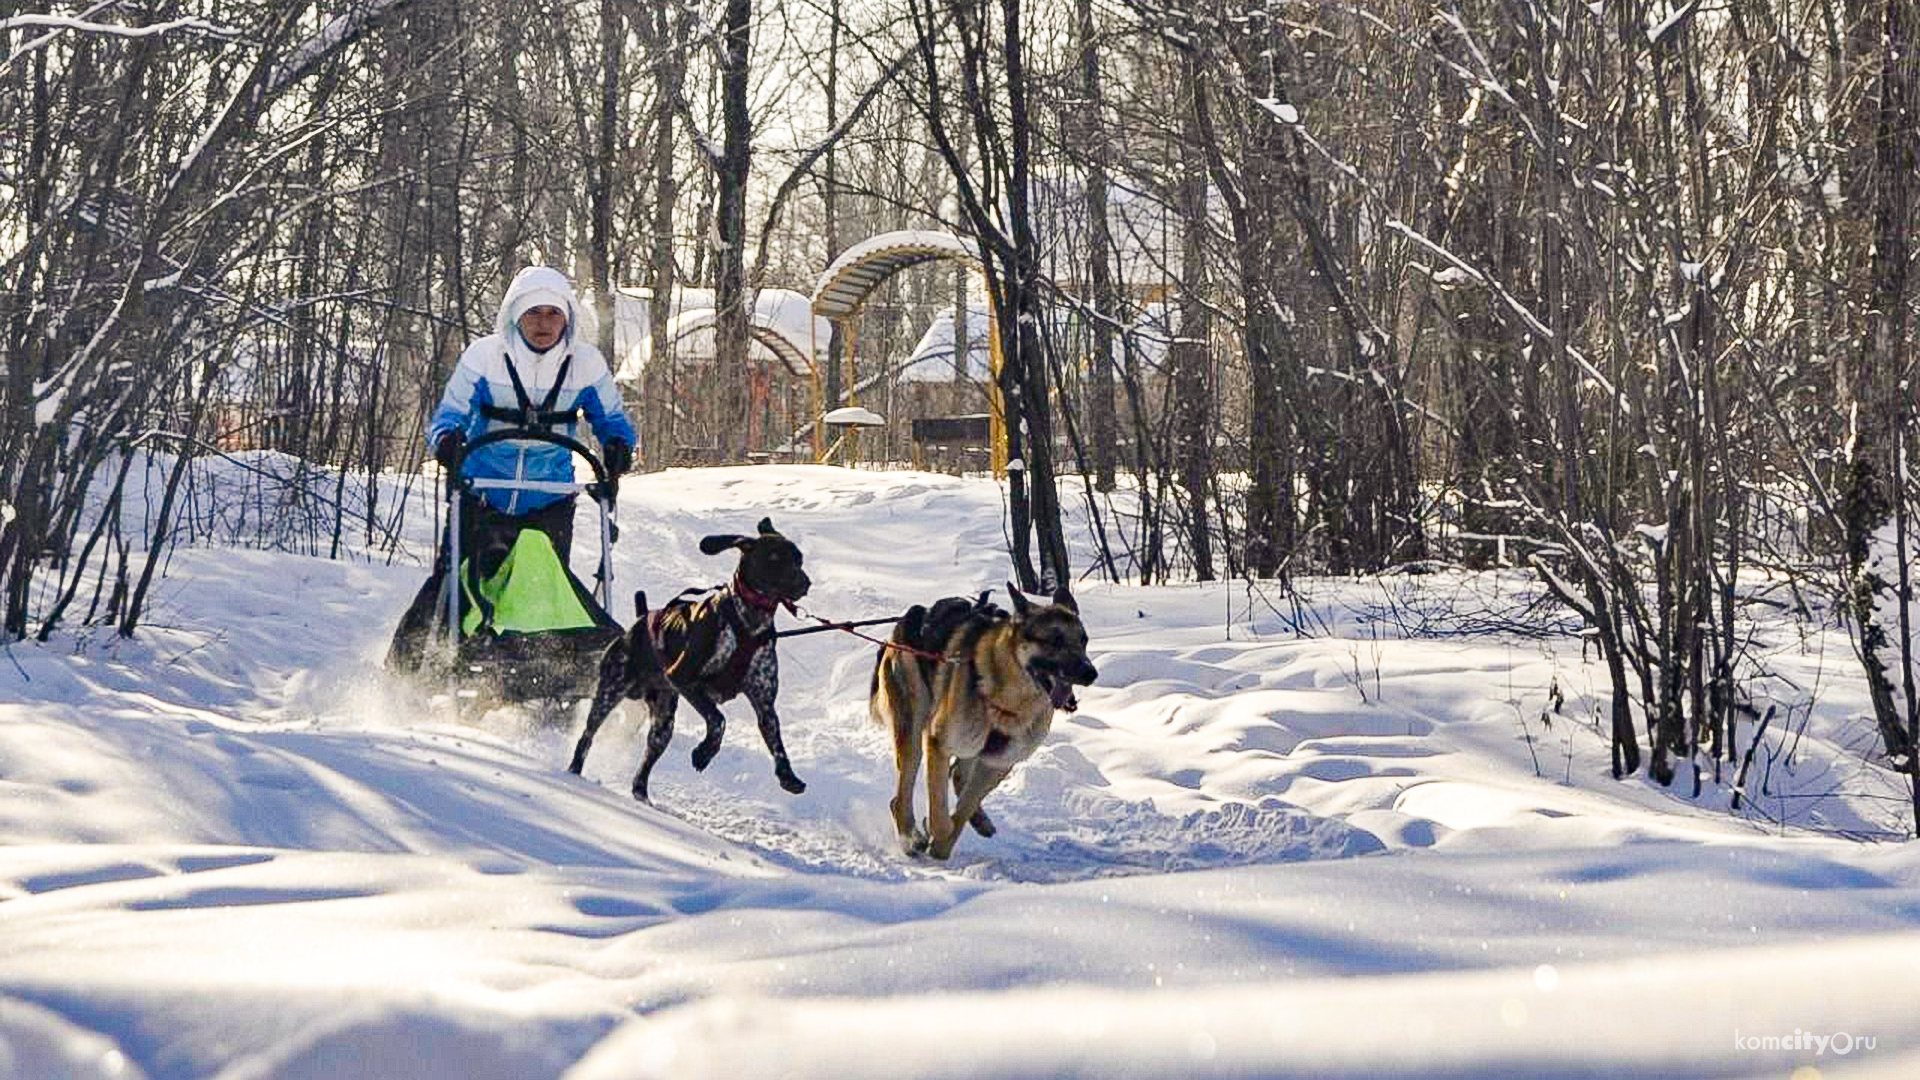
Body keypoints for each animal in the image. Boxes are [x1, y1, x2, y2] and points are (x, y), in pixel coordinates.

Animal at [568, 511, 810, 799]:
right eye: (774, 557)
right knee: (587, 735)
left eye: (799, 559)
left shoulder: (764, 704)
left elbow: (777, 744)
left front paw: (787, 776)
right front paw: (704, 752)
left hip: (663, 724)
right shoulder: (684, 678)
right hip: (610, 692)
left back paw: (642, 794)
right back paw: (574, 770)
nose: (806, 583)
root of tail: (639, 620)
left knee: (645, 764)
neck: (749, 624)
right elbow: (718, 720)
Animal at [871, 584, 1098, 853]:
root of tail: (909, 617)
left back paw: (979, 820)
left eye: (1083, 640)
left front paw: (943, 846)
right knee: (901, 795)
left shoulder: (997, 762)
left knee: (958, 775)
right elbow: (941, 815)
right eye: (1055, 640)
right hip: (913, 734)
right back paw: (910, 837)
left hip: (974, 748)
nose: (1090, 673)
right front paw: (936, 836)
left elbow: (963, 809)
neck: (1009, 701)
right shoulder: (940, 744)